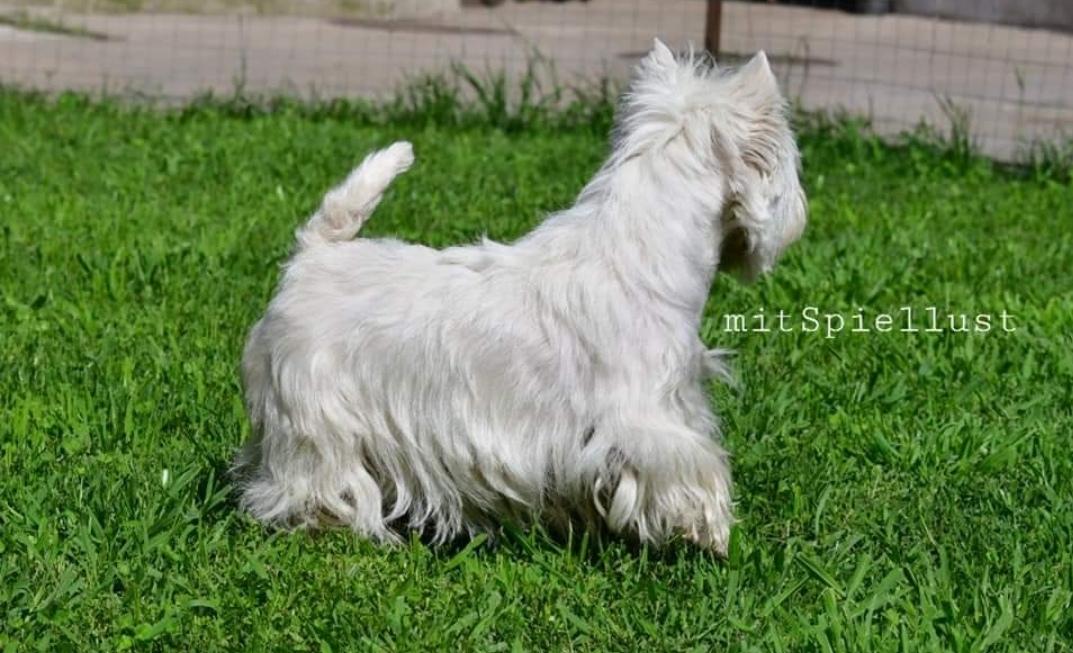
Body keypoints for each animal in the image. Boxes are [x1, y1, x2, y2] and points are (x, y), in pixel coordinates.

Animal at [234, 40, 806, 553]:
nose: (800, 216)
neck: (639, 251)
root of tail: (311, 256)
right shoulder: (641, 419)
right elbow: (690, 472)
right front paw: (710, 534)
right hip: (317, 412)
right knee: (314, 476)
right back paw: (326, 520)